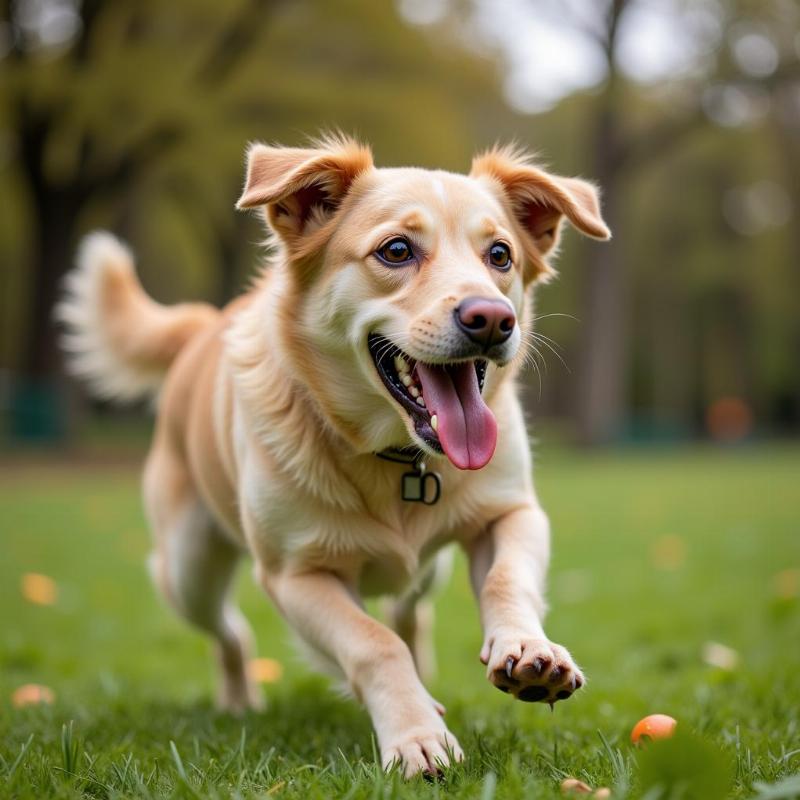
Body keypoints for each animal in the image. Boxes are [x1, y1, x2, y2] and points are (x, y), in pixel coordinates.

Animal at [57, 134, 608, 780]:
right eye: (396, 250)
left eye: (500, 255)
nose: (493, 319)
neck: (396, 456)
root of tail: (204, 323)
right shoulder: (296, 575)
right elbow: (372, 645)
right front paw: (417, 735)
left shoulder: (513, 514)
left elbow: (504, 580)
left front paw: (528, 649)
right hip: (188, 568)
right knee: (232, 633)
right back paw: (241, 699)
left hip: (427, 567)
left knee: (409, 609)